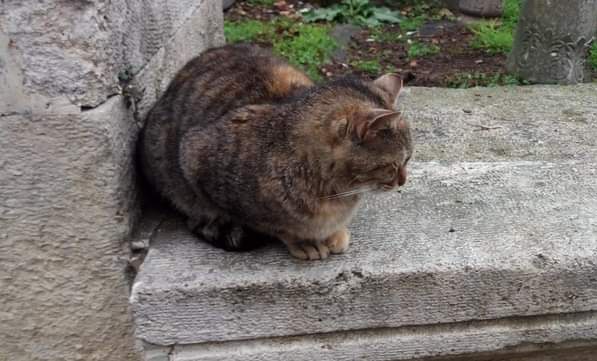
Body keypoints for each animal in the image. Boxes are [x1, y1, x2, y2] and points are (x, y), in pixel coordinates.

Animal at [140, 44, 412, 258]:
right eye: (393, 165)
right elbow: (275, 226)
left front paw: (334, 233)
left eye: (408, 160)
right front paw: (305, 242)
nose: (403, 181)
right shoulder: (195, 155)